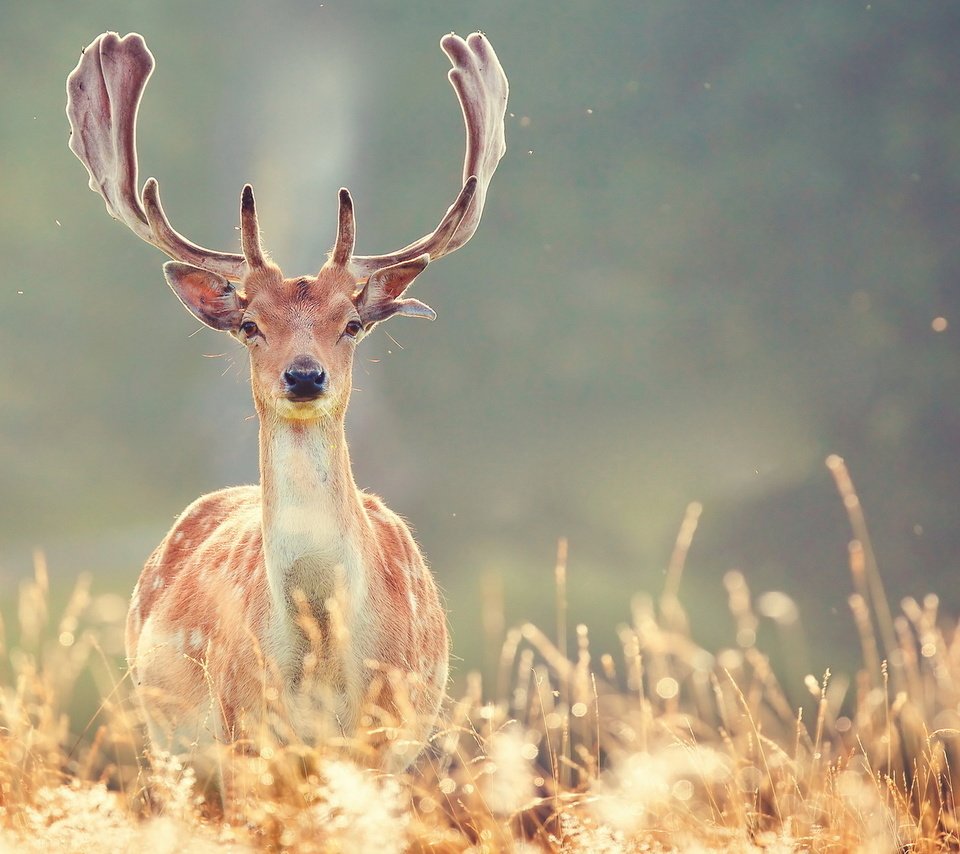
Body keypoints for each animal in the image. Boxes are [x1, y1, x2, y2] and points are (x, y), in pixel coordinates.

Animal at [63, 31, 506, 776]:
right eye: (250, 324)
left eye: (351, 324)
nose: (304, 376)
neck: (322, 647)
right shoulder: (246, 731)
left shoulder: (388, 741)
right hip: (170, 744)